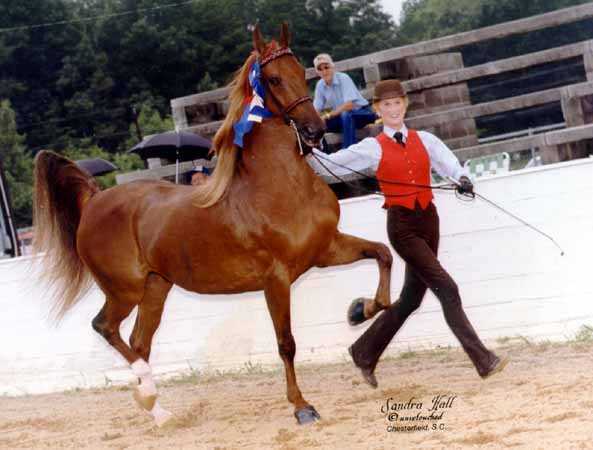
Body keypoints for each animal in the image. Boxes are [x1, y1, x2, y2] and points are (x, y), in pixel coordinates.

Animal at [32, 23, 394, 426]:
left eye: (302, 72)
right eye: (273, 78)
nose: (314, 130)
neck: (280, 186)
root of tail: (95, 199)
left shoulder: (327, 249)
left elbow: (383, 255)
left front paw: (360, 309)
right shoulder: (276, 278)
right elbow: (286, 342)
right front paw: (302, 407)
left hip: (155, 288)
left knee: (140, 341)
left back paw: (159, 410)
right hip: (124, 290)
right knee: (105, 327)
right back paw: (146, 390)